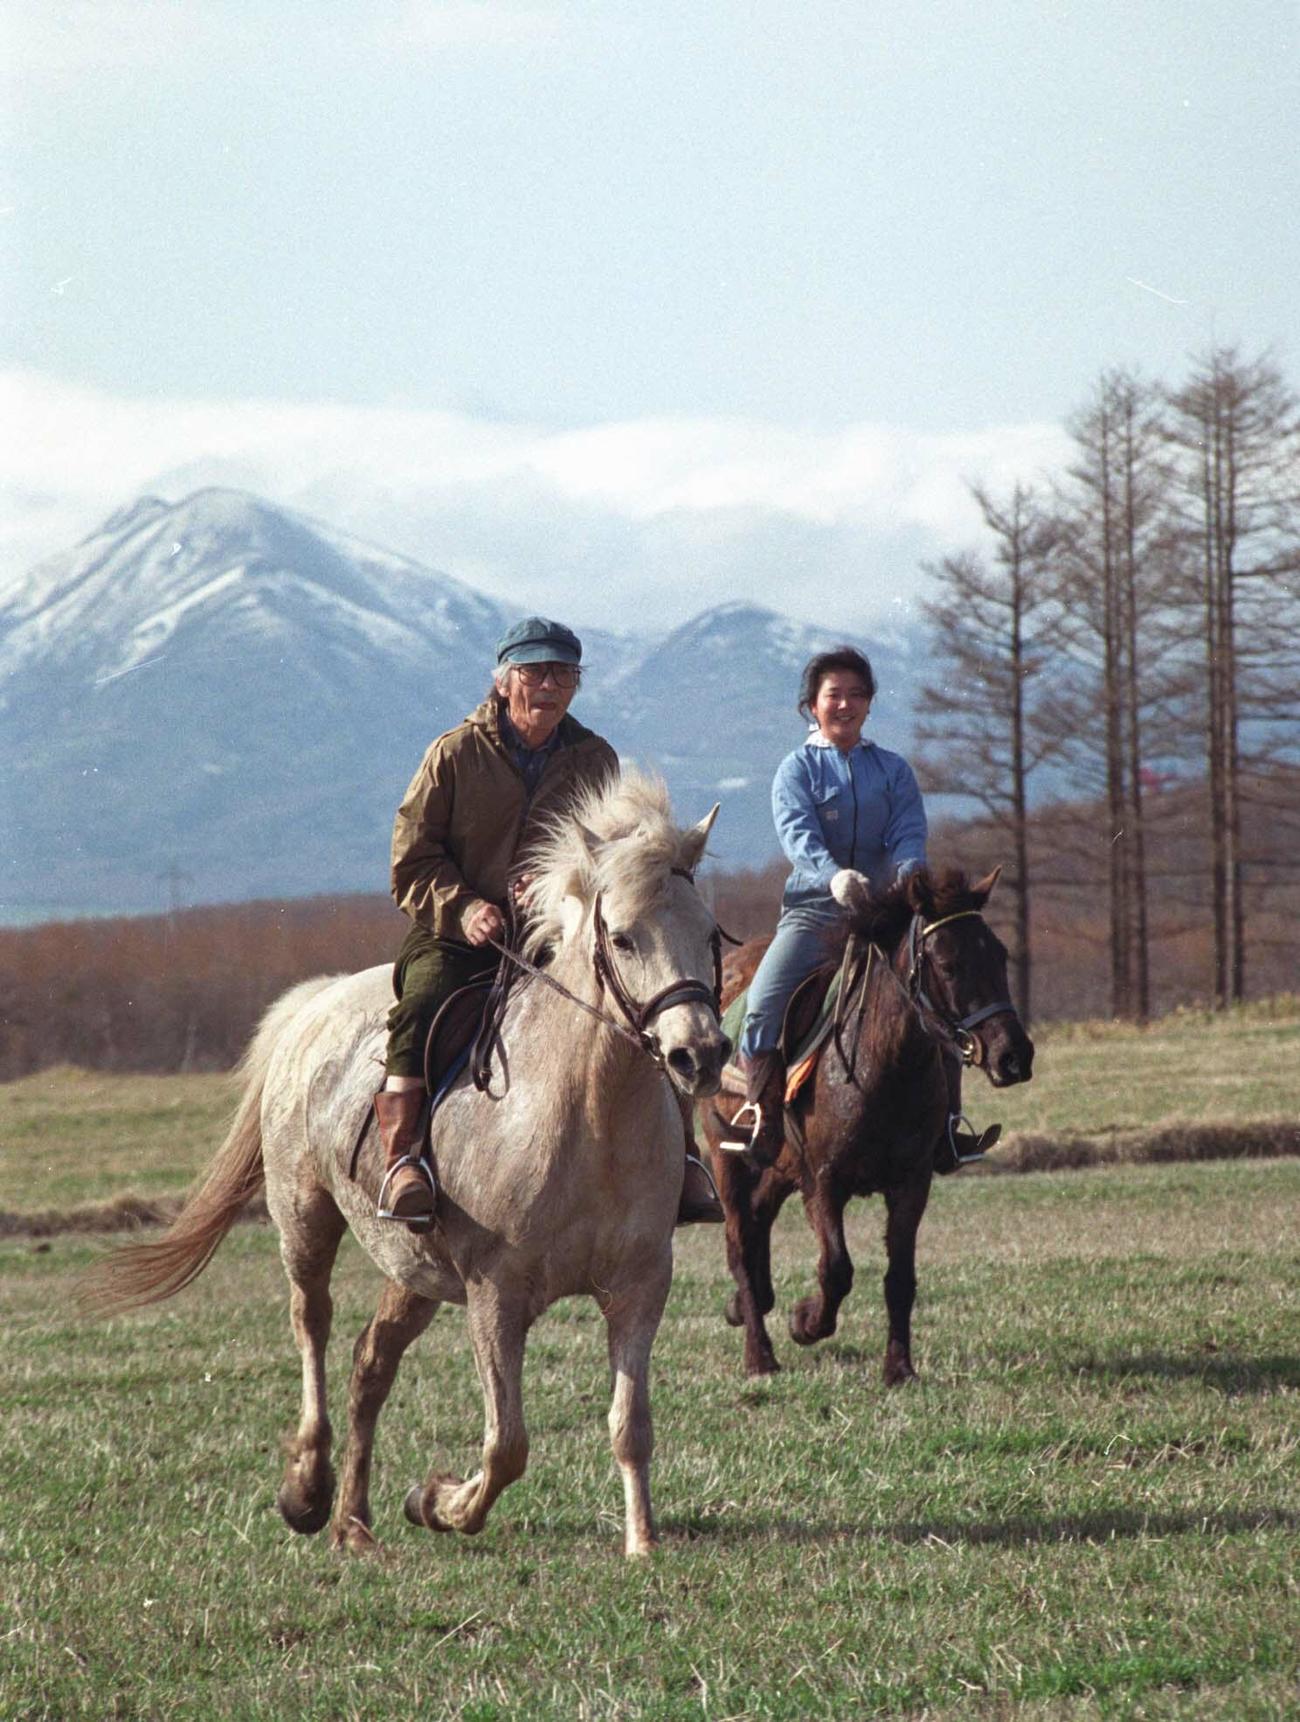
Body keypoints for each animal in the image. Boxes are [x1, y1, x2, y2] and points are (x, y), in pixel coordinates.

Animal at [81, 772, 730, 1559]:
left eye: (709, 932)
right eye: (625, 936)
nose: (699, 1054)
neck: (589, 1117)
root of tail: (313, 1005)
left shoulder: (639, 1286)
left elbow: (629, 1425)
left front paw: (641, 1542)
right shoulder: (495, 1294)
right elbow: (506, 1444)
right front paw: (439, 1503)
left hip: (413, 1267)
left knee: (371, 1364)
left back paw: (353, 1524)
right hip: (304, 1221)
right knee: (313, 1325)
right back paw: (307, 1491)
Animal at [700, 865, 1034, 1381]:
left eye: (998, 954)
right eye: (947, 964)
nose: (1014, 1056)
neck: (884, 1066)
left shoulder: (911, 1183)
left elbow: (900, 1278)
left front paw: (898, 1368)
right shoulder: (823, 1182)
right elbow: (836, 1269)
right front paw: (805, 1321)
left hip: (781, 1167)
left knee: (758, 1219)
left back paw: (747, 1304)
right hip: (727, 1155)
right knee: (739, 1239)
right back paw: (760, 1354)